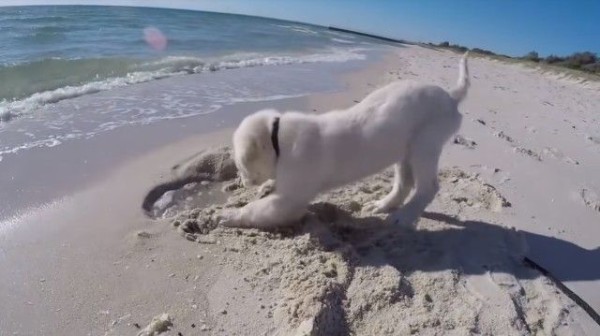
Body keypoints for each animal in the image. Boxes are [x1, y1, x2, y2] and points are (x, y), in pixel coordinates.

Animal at [220, 53, 468, 228]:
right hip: (404, 150)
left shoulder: (288, 200)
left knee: (428, 188)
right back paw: (383, 204)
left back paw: (403, 217)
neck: (278, 138)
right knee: (404, 184)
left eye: (241, 166)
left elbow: (255, 209)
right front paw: (267, 186)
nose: (242, 183)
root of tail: (450, 96)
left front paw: (230, 214)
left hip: (425, 146)